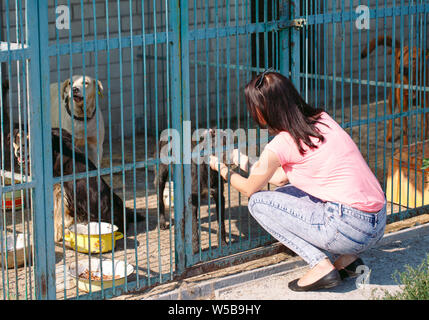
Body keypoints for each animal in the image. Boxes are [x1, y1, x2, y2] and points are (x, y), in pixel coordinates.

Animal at [12, 127, 145, 242]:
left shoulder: (59, 191)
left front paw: (56, 235)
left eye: (29, 140)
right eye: (19, 139)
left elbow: (58, 216)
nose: (18, 152)